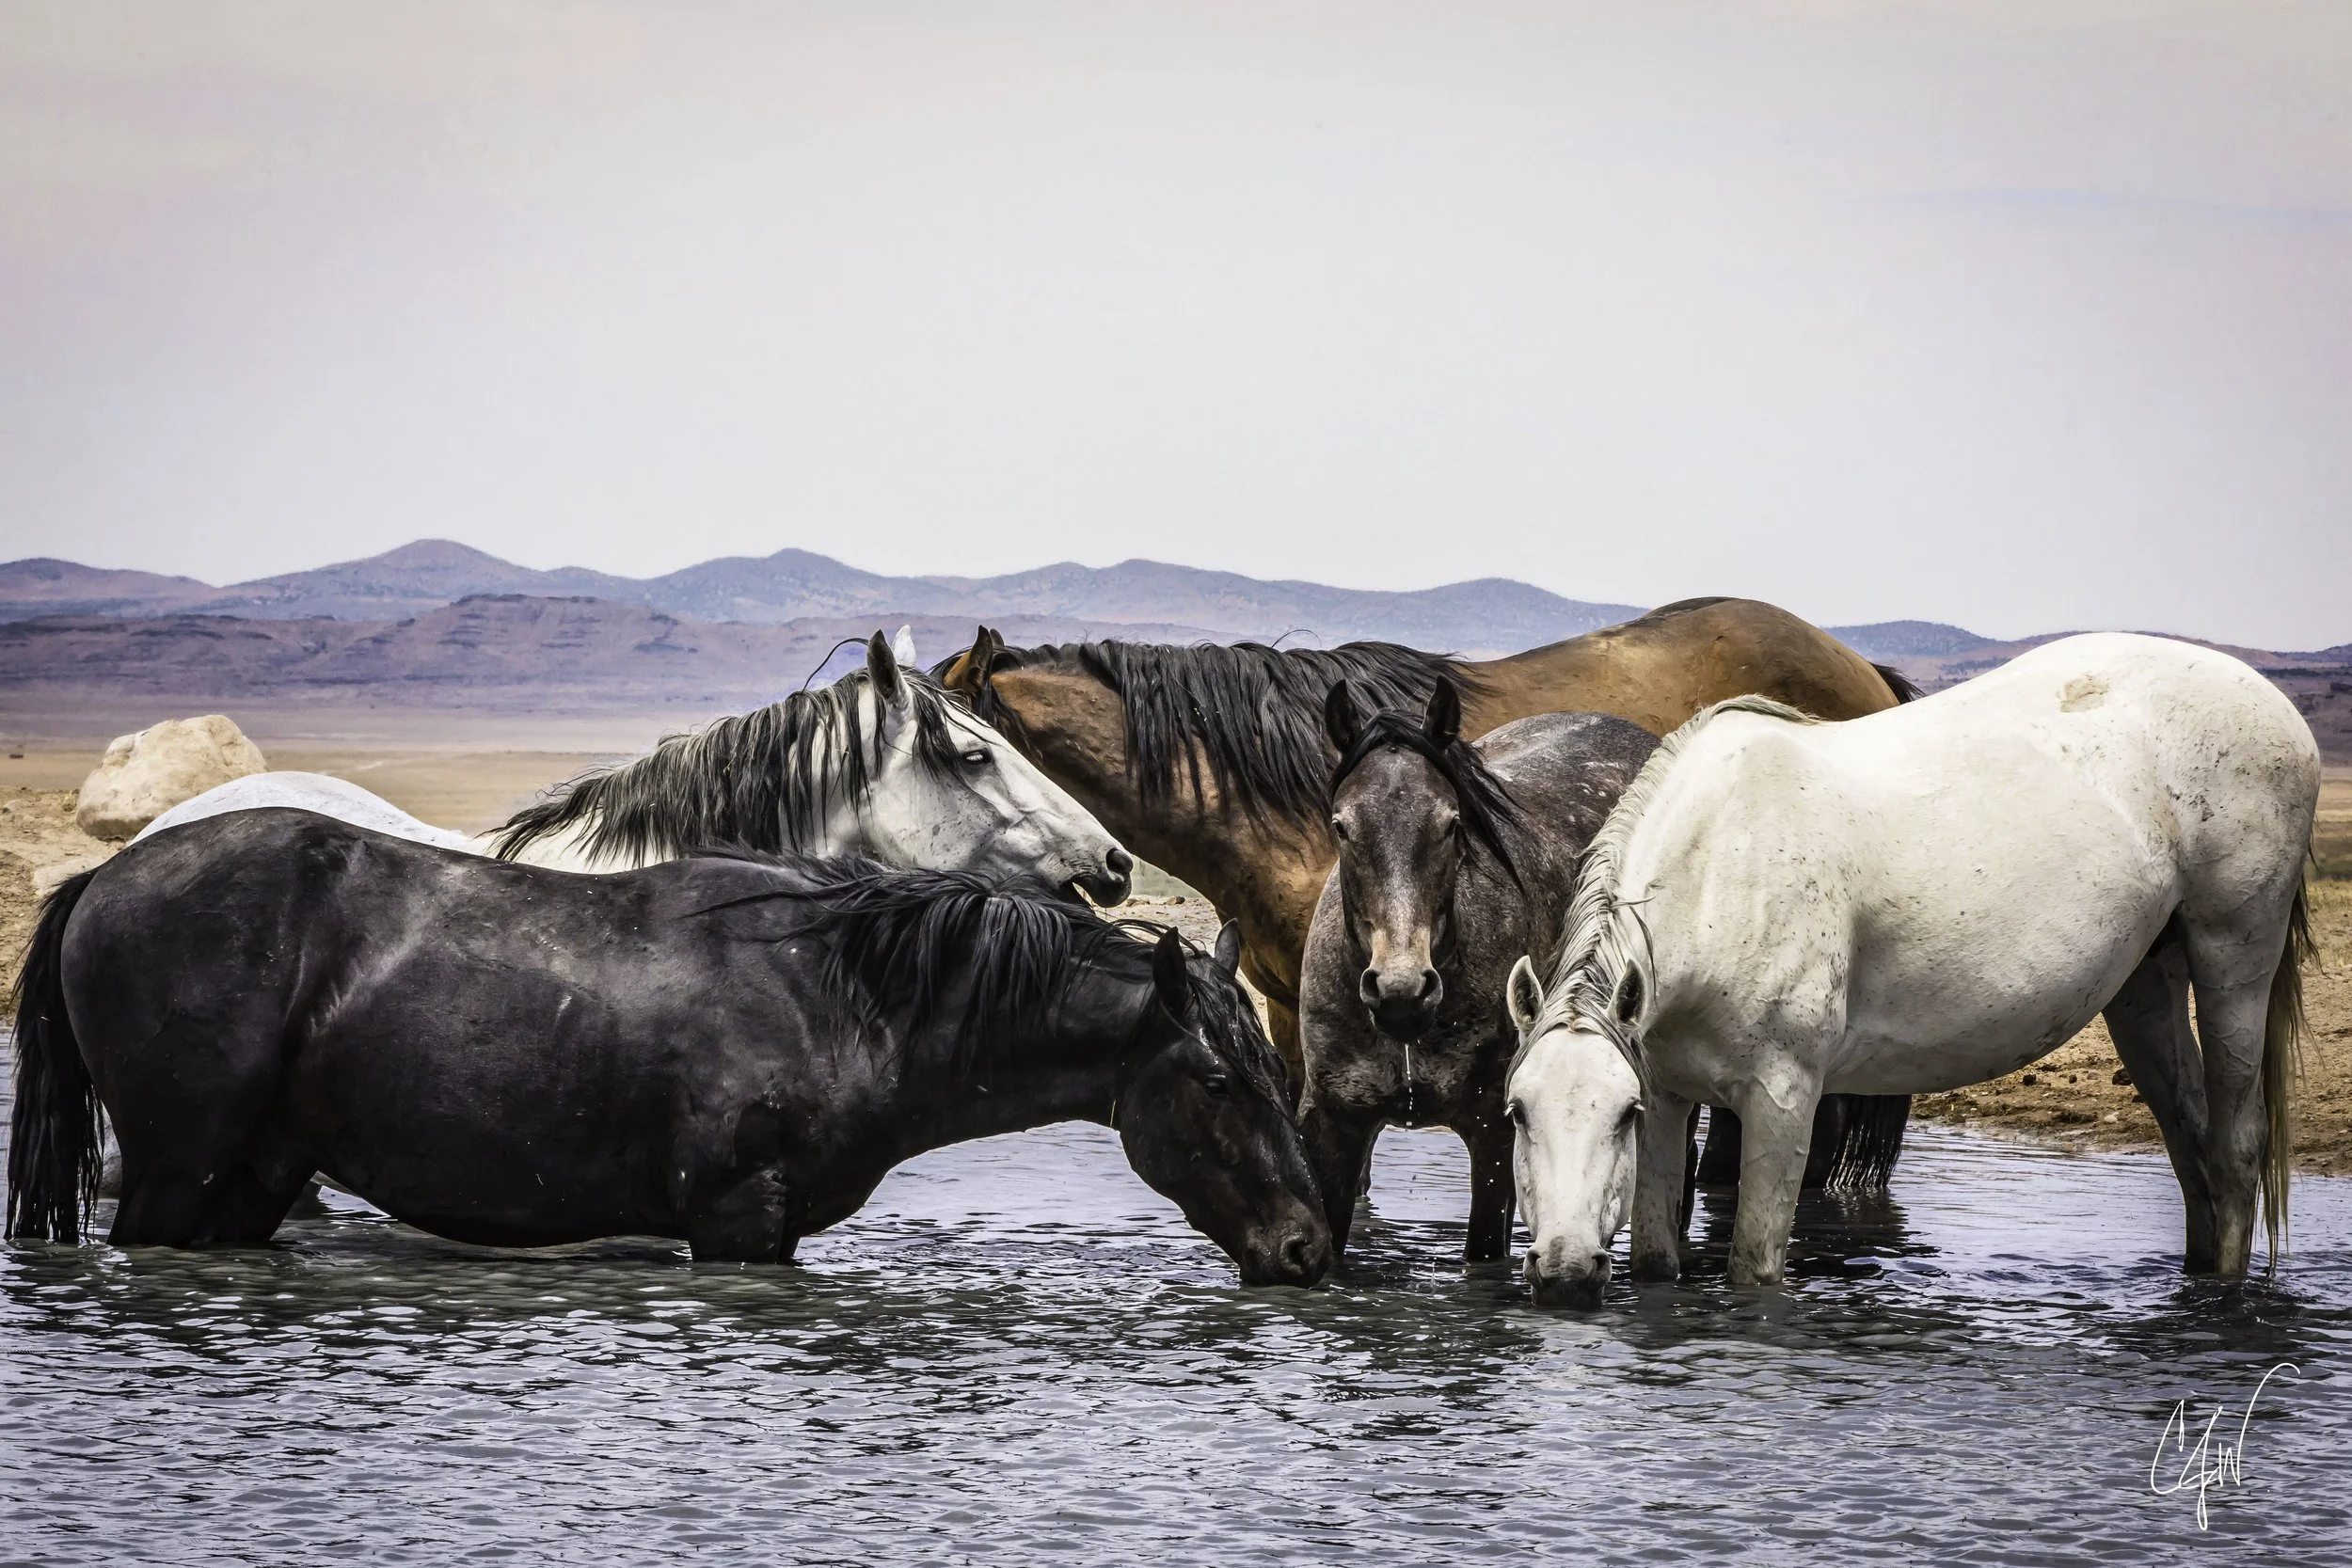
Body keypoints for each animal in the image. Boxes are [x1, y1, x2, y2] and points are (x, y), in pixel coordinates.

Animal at [7, 810, 1331, 1286]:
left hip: (256, 1175)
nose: (1307, 1248)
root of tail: (101, 880)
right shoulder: (735, 1219)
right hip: (175, 1173)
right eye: (1221, 1080)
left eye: (1279, 1077)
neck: (843, 992)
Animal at [1502, 634, 2319, 1306]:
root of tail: (2277, 708)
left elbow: (1754, 1270)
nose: (1565, 1270)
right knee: (2190, 1140)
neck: (1724, 868)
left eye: (1620, 1114)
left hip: (2235, 951)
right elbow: (1654, 1267)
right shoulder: (1672, 1095)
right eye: (1518, 1111)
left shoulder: (1781, 1098)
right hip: (2146, 982)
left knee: (2235, 1145)